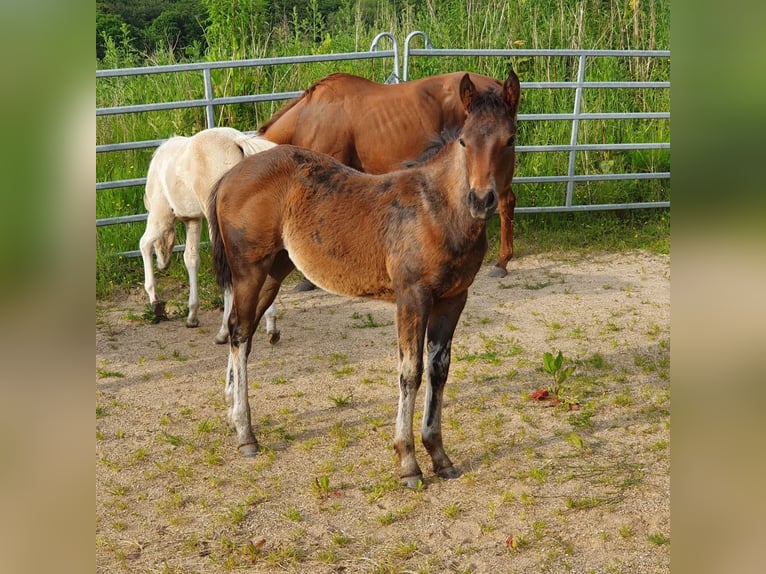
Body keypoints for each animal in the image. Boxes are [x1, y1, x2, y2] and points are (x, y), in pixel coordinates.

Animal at [140, 128, 280, 344]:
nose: (163, 265)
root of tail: (237, 141)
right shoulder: (193, 220)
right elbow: (191, 259)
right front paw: (192, 316)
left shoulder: (161, 216)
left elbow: (145, 244)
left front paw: (155, 302)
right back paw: (271, 326)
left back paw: (223, 332)